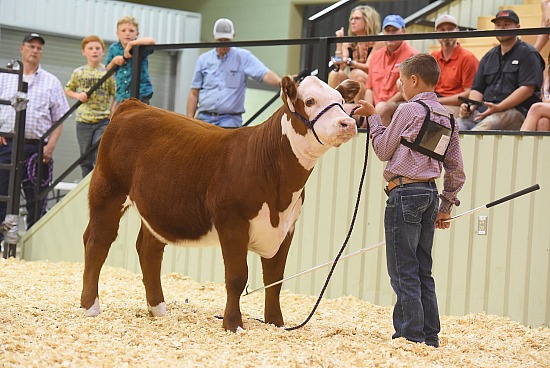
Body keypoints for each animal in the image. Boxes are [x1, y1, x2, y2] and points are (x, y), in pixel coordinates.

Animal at [80, 75, 360, 330]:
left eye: (341, 101)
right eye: (310, 101)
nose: (347, 123)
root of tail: (134, 105)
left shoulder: (287, 227)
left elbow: (275, 279)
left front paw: (276, 323)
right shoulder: (232, 222)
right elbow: (236, 277)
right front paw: (233, 324)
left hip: (157, 205)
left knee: (149, 249)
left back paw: (158, 309)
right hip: (108, 190)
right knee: (97, 241)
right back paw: (90, 307)